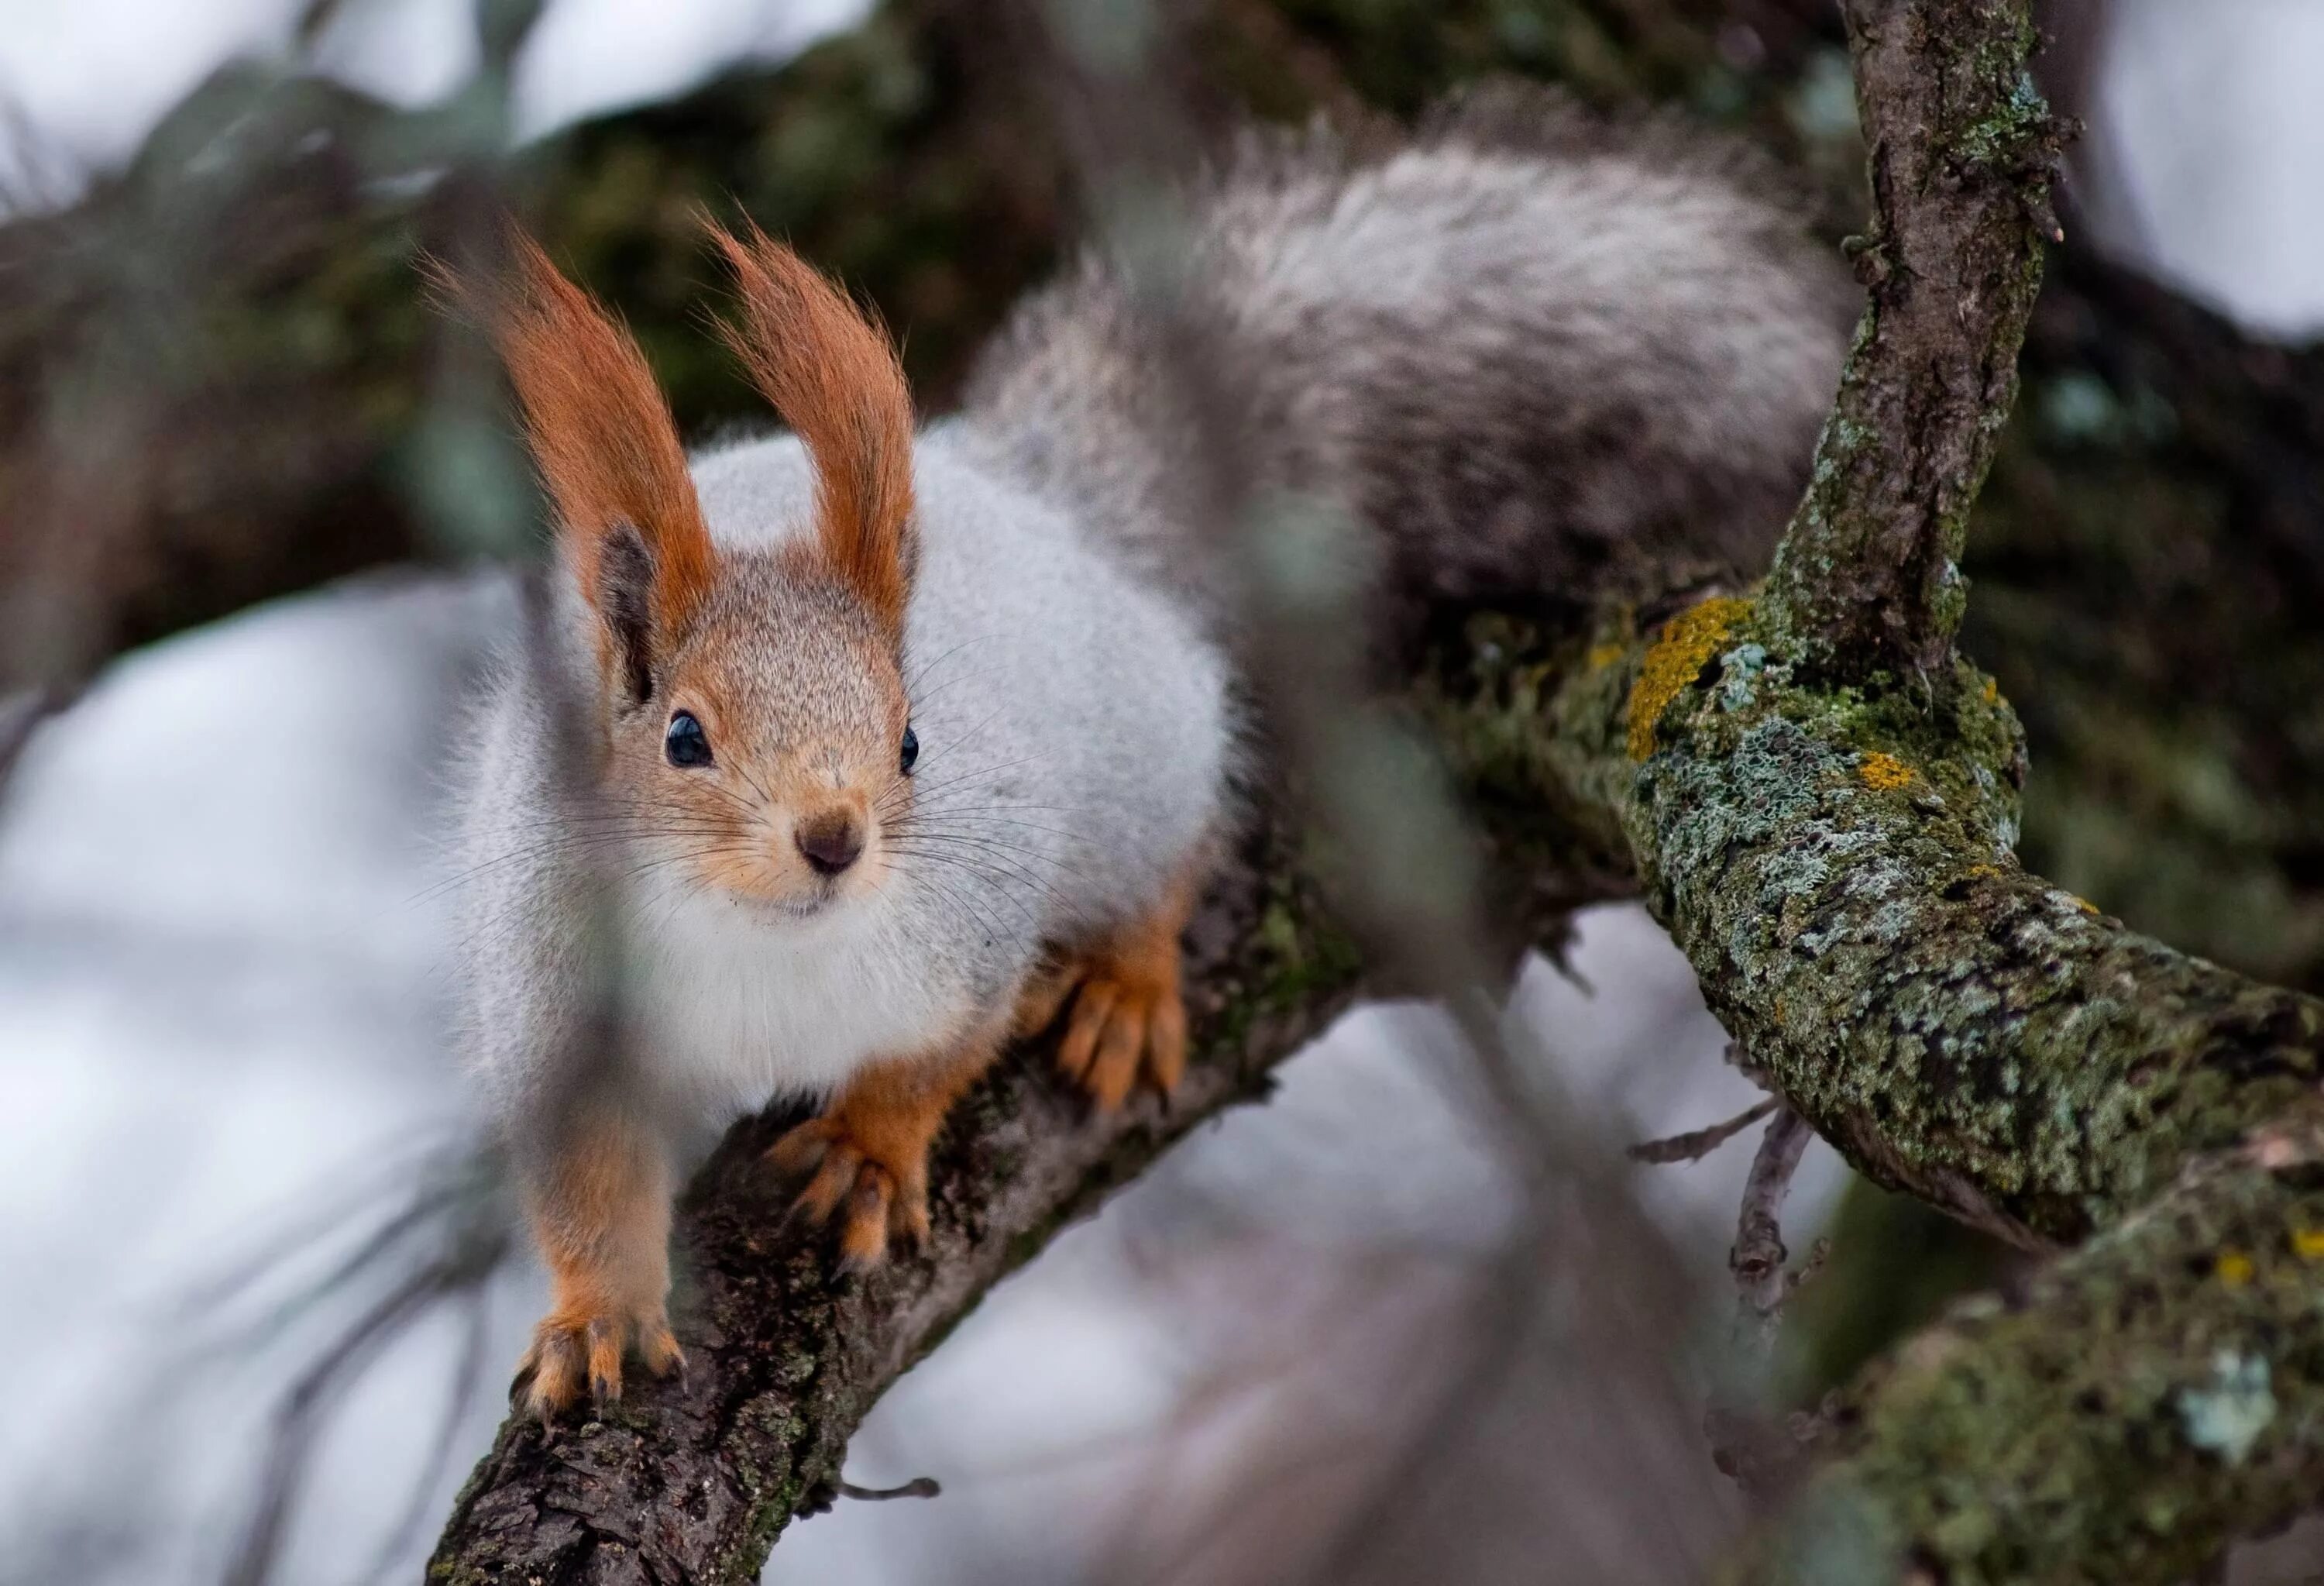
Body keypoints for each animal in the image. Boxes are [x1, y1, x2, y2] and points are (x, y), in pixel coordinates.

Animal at [439, 80, 1850, 1413]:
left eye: (911, 738)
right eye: (682, 735)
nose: (835, 839)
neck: (758, 942)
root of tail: (1037, 499)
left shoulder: (973, 923)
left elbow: (935, 1054)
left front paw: (872, 1150)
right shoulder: (558, 995)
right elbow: (586, 1183)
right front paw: (596, 1317)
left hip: (1142, 759)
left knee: (1174, 841)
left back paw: (1126, 982)